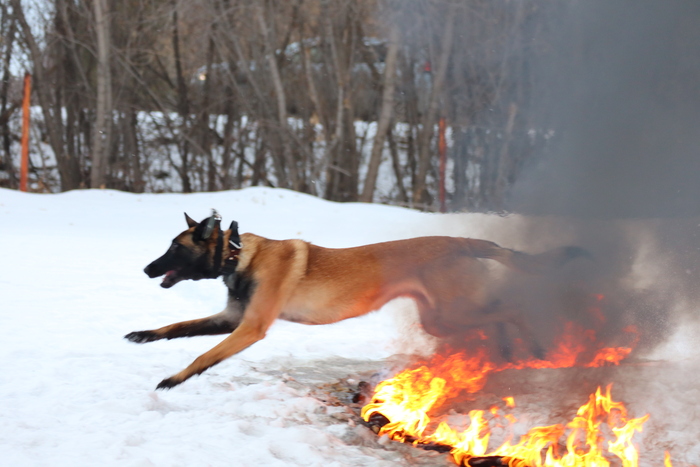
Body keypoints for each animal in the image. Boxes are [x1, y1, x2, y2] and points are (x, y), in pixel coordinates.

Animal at [125, 211, 589, 389]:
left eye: (176, 248)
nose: (146, 269)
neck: (239, 255)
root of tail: (460, 241)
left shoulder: (251, 328)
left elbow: (204, 355)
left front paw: (174, 379)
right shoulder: (230, 318)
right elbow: (178, 329)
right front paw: (144, 335)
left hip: (452, 313)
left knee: (512, 308)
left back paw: (533, 348)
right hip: (441, 318)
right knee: (497, 314)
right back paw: (509, 351)